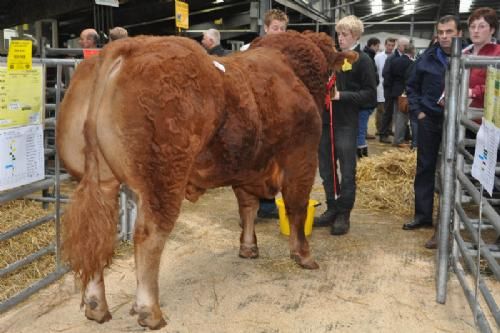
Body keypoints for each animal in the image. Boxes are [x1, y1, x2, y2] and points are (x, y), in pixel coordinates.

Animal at [57, 31, 356, 330]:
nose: (334, 95)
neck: (292, 71)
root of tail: (128, 46)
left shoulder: (246, 167)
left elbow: (248, 207)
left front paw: (248, 247)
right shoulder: (301, 158)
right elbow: (297, 208)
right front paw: (303, 255)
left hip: (101, 180)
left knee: (98, 234)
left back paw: (96, 306)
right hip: (162, 178)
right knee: (148, 236)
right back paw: (150, 311)